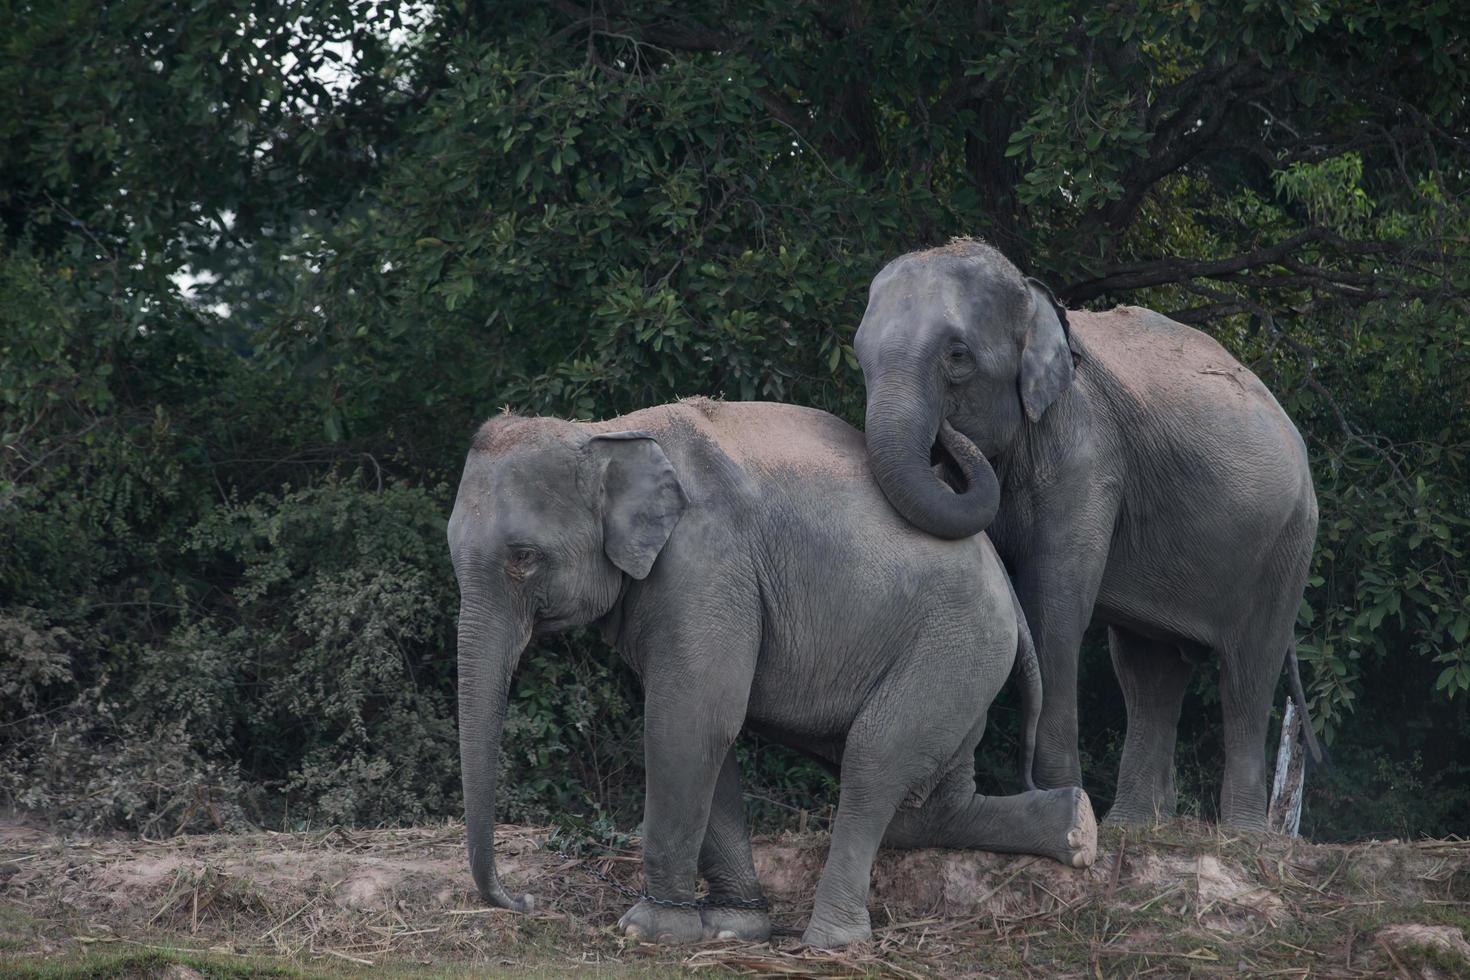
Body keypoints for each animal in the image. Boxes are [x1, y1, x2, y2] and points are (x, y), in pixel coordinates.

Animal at [452, 399, 1099, 952]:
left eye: (523, 558)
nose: (523, 901)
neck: (607, 430)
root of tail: (1005, 586)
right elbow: (709, 730)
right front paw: (733, 928)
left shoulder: (707, 565)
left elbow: (690, 719)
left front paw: (650, 930)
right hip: (965, 659)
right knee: (925, 807)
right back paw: (1077, 830)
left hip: (955, 644)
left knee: (874, 760)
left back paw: (831, 943)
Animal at [852, 240, 1323, 834]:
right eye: (859, 356)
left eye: (957, 356)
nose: (947, 438)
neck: (1036, 302)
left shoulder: (1086, 456)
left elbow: (1053, 607)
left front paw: (1060, 800)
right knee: (1148, 670)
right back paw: (1133, 827)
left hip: (1288, 541)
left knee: (1247, 671)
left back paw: (1243, 836)